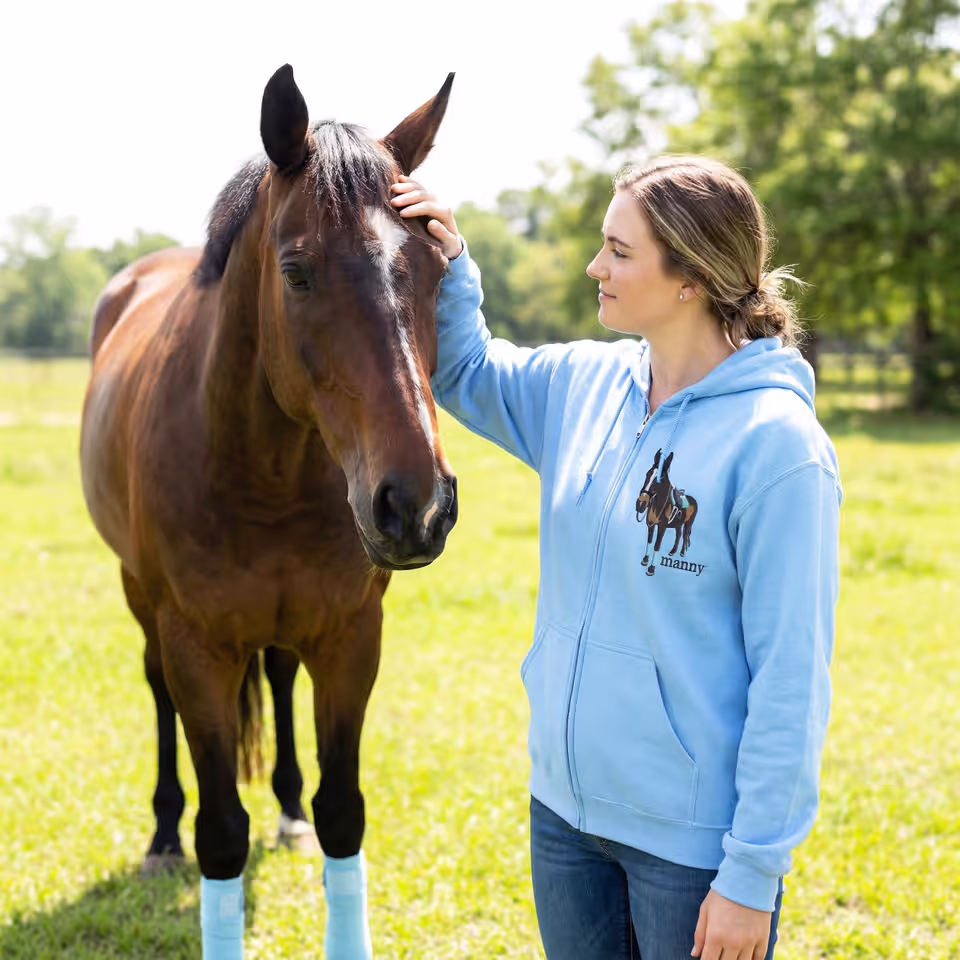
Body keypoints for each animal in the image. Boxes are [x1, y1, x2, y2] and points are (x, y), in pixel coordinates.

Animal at [80, 64, 458, 958]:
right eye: (297, 272)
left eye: (438, 268)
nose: (416, 505)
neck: (265, 472)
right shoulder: (198, 646)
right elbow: (221, 831)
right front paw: (188, 837)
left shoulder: (352, 637)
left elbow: (343, 814)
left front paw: (302, 814)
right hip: (140, 597)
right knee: (154, 690)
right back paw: (160, 839)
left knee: (281, 678)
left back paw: (285, 809)